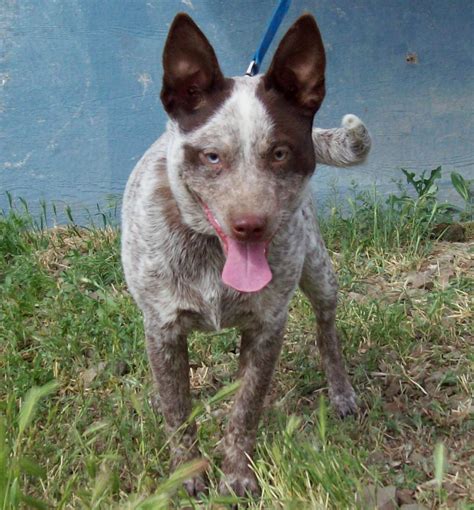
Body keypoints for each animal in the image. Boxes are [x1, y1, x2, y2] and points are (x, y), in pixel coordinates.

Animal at [121, 11, 370, 498]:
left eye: (280, 153)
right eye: (212, 156)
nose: (250, 225)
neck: (210, 254)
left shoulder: (266, 329)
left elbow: (246, 409)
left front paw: (237, 475)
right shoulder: (162, 330)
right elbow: (178, 412)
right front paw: (188, 473)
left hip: (319, 272)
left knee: (326, 328)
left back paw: (340, 390)